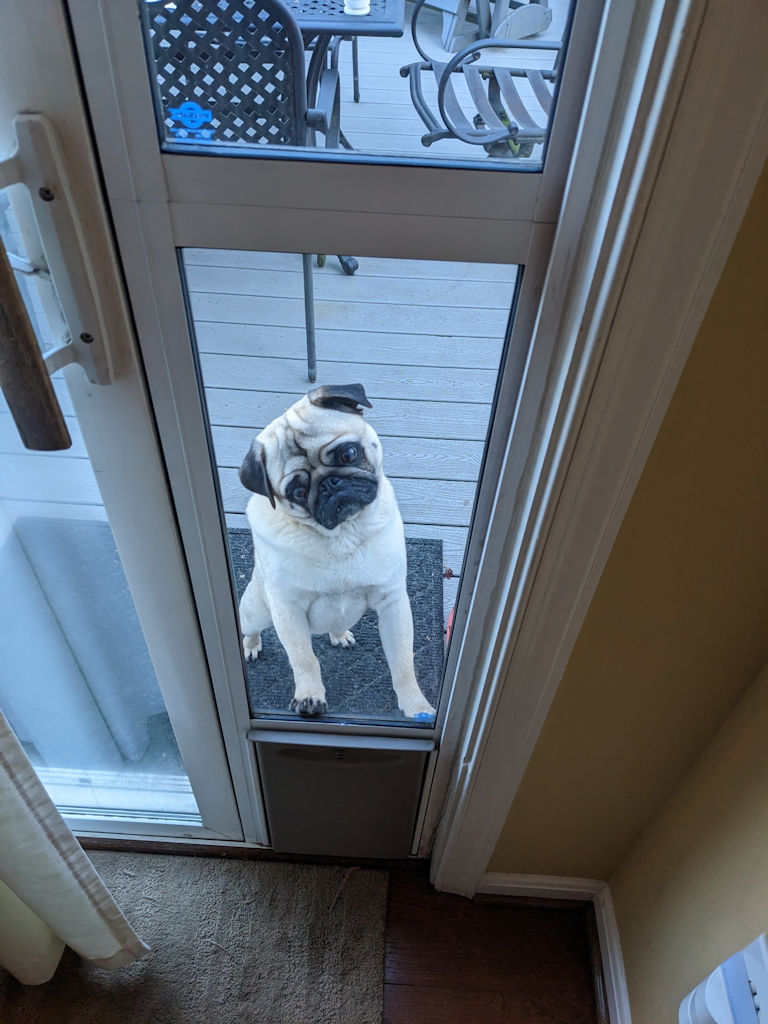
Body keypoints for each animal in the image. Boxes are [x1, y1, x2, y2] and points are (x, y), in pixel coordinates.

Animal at [238, 383, 436, 721]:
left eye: (349, 453)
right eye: (297, 492)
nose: (330, 484)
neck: (341, 535)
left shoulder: (393, 602)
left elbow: (402, 662)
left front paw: (416, 706)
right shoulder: (287, 610)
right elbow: (304, 658)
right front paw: (309, 696)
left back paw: (339, 633)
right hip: (255, 610)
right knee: (251, 627)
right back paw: (251, 645)